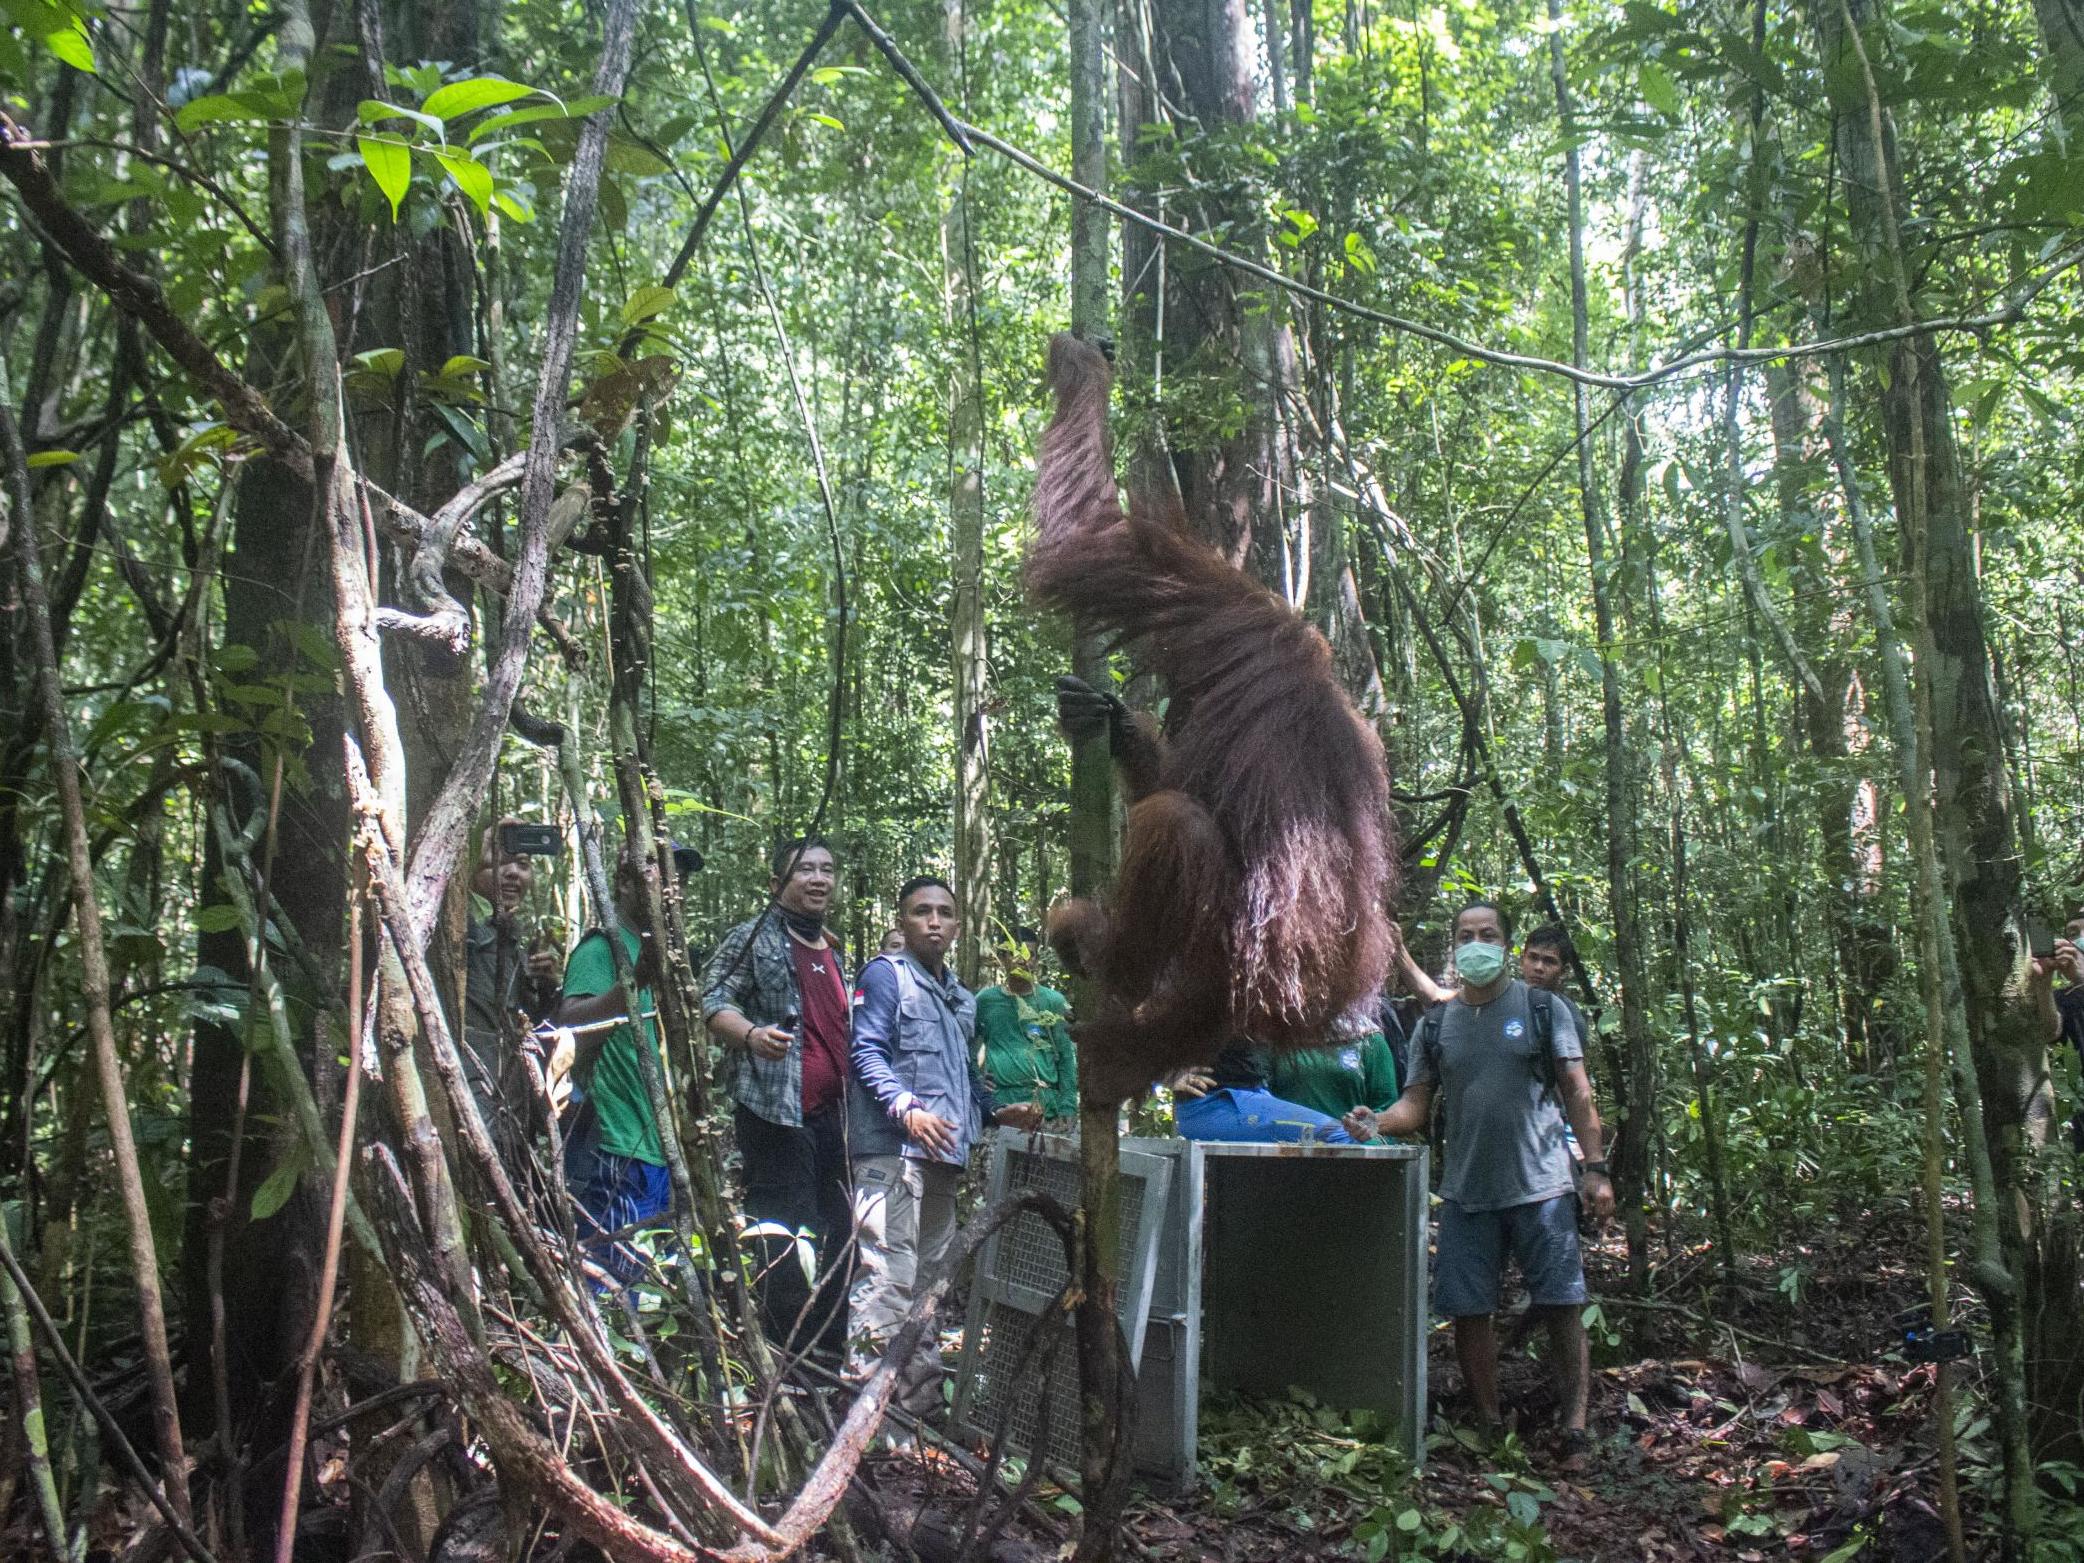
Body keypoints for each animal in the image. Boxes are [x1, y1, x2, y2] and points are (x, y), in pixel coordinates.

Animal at [1026, 333, 1396, 1103]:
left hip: (1231, 957)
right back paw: (1128, 1057)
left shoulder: (1220, 610)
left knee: (1178, 825)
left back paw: (1105, 957)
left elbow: (1096, 541)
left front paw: (1083, 370)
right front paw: (1110, 721)